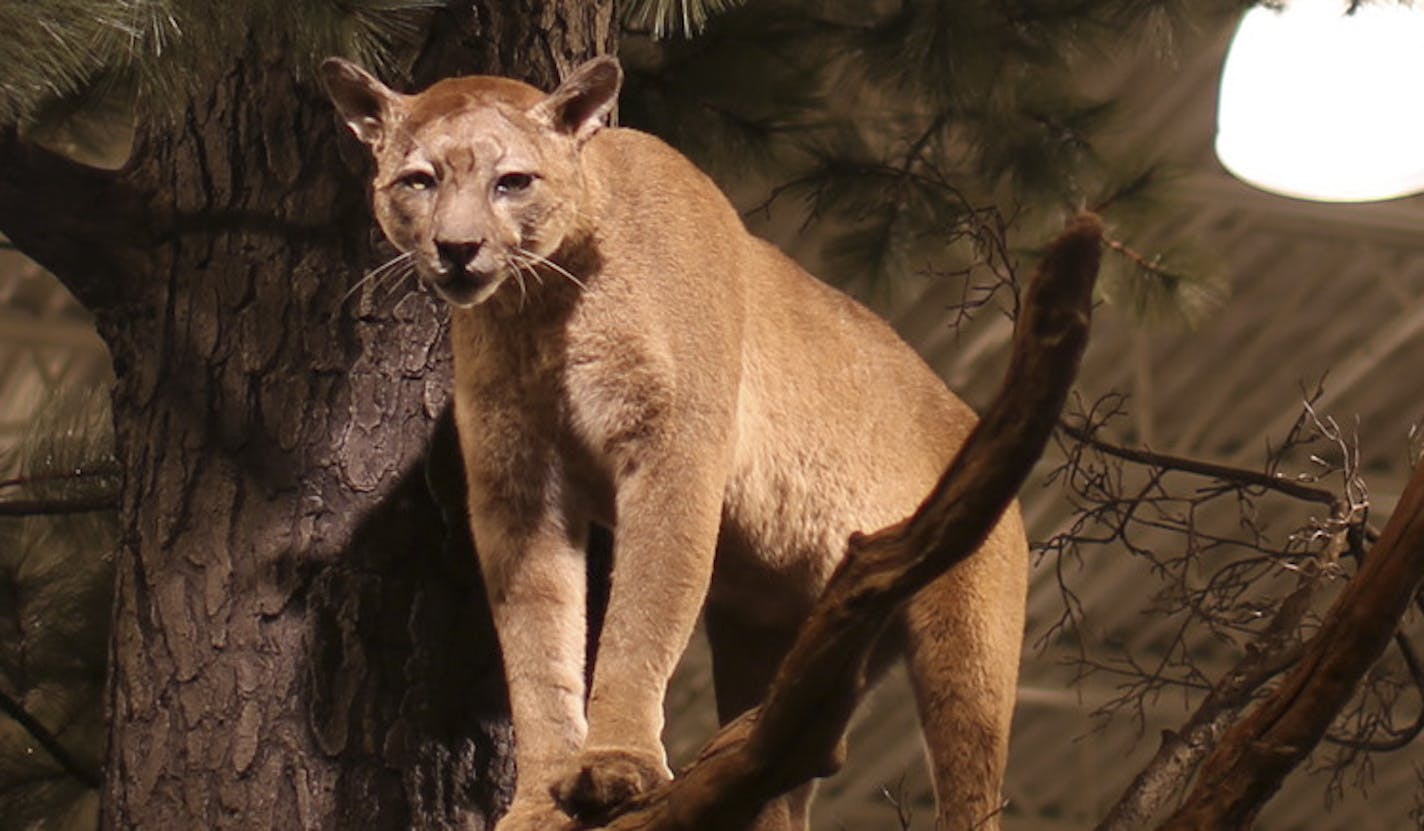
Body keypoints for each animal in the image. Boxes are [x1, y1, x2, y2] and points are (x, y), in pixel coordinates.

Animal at [326, 55, 1025, 825]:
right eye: (418, 180)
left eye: (512, 181)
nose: (457, 248)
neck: (542, 306)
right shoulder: (518, 486)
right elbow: (537, 644)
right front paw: (540, 800)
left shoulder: (670, 450)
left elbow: (644, 609)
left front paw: (615, 766)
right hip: (778, 654)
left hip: (967, 645)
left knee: (970, 782)